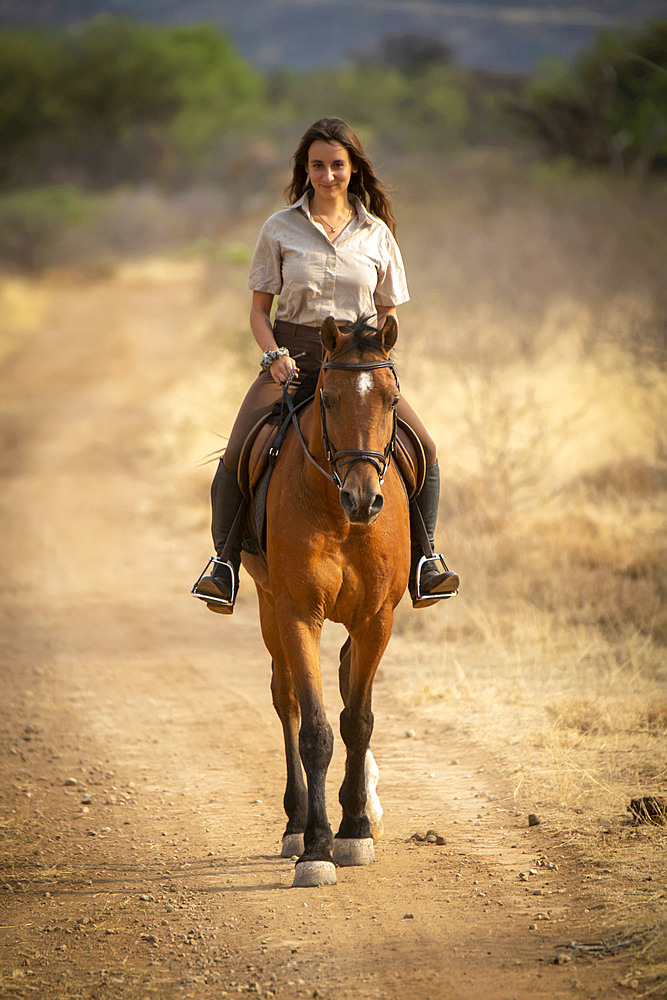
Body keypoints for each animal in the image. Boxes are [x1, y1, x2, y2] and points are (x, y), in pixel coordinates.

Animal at [243, 316, 410, 888]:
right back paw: (297, 823)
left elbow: (357, 720)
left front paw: (355, 829)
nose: (363, 499)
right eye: (329, 399)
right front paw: (317, 848)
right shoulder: (297, 612)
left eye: (391, 399)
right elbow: (314, 729)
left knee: (343, 677)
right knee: (287, 700)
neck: (339, 516)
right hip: (267, 605)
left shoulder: (376, 619)